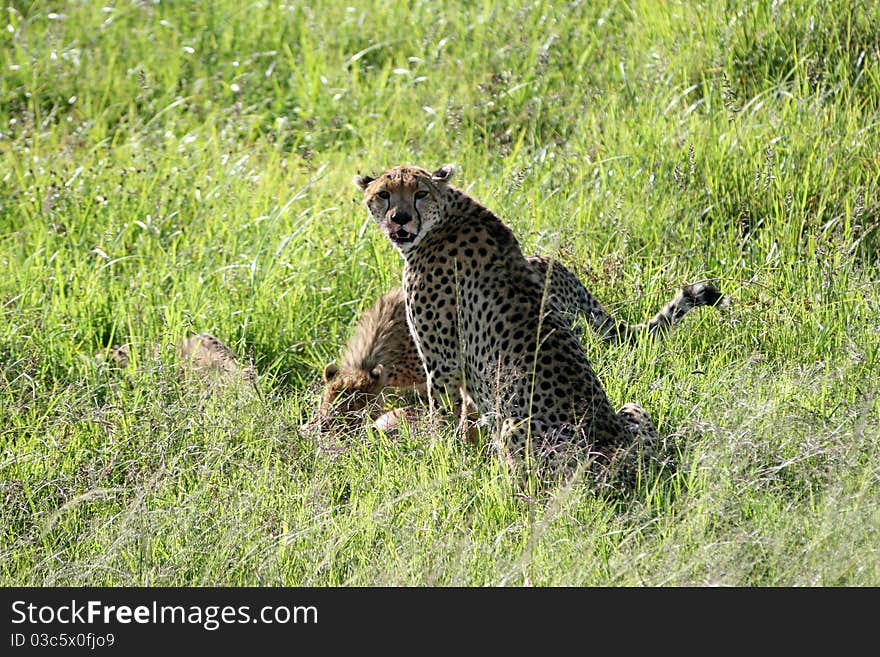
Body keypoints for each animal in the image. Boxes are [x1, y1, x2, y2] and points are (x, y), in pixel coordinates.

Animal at [358, 164, 720, 476]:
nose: (401, 218)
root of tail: (624, 453)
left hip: (518, 428)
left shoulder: (444, 364)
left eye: (420, 193)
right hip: (632, 410)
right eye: (384, 194)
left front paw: (442, 458)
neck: (446, 216)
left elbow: (444, 419)